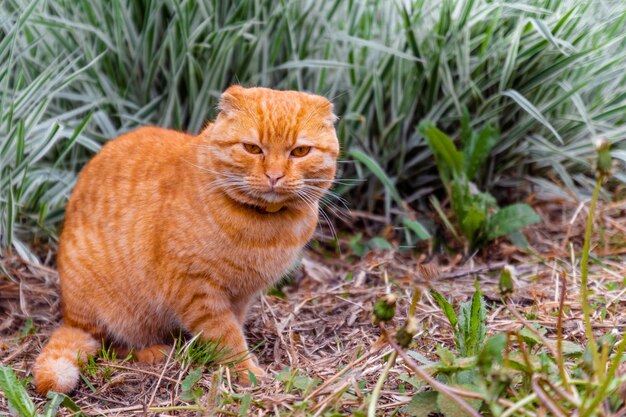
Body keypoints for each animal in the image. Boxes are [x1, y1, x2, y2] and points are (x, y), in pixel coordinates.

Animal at [33, 85, 336, 394]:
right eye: (252, 148)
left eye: (300, 151)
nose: (274, 176)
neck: (265, 229)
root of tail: (70, 318)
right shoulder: (197, 291)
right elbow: (226, 337)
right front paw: (245, 370)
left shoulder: (242, 295)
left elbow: (235, 325)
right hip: (113, 312)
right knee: (109, 343)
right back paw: (153, 351)